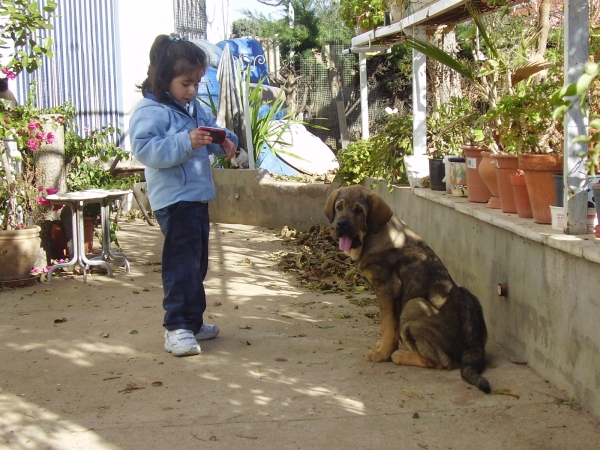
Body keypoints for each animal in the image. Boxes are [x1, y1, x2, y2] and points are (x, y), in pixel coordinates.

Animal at [326, 185, 490, 392]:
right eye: (339, 207)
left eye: (359, 211)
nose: (341, 224)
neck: (374, 234)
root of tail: (474, 346)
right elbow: (386, 325)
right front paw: (382, 346)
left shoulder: (388, 289)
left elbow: (389, 326)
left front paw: (383, 353)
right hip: (467, 293)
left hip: (414, 304)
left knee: (442, 362)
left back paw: (401, 356)